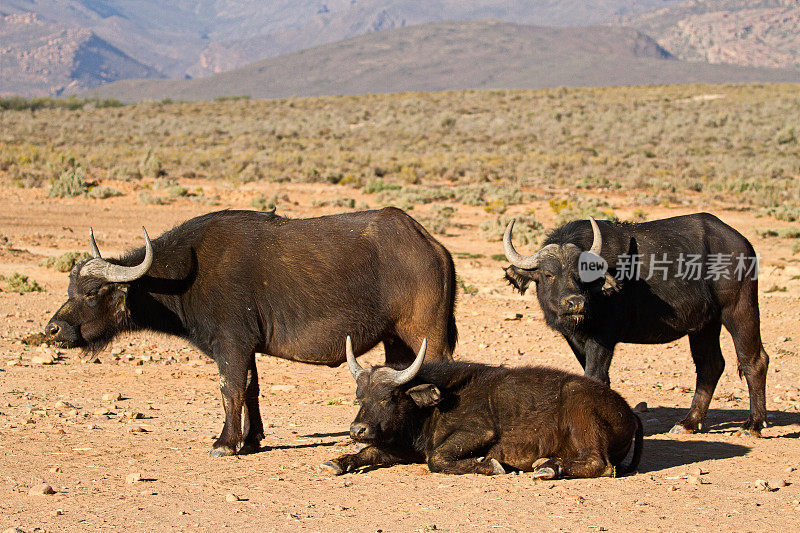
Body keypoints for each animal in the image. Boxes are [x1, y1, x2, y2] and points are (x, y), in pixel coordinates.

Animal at [43, 207, 456, 454]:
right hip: (395, 341)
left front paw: (226, 442)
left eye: (92, 292)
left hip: (426, 336)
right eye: (70, 289)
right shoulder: (247, 348)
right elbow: (251, 389)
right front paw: (252, 438)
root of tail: (433, 247)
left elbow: (230, 390)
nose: (53, 329)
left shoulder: (231, 345)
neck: (184, 275)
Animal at [322, 334, 640, 476]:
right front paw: (338, 461)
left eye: (389, 397)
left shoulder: (478, 432)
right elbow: (369, 452)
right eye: (359, 396)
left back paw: (550, 468)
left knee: (600, 464)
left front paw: (489, 465)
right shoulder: (403, 447)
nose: (357, 430)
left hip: (582, 414)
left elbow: (437, 458)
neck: (432, 408)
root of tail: (628, 412)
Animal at [504, 214, 772, 434]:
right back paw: (689, 422)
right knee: (710, 365)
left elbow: (596, 376)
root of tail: (742, 243)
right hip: (704, 325)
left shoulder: (603, 337)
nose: (575, 303)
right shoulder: (576, 340)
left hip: (740, 308)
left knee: (754, 360)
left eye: (582, 273)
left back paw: (753, 424)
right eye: (548, 274)